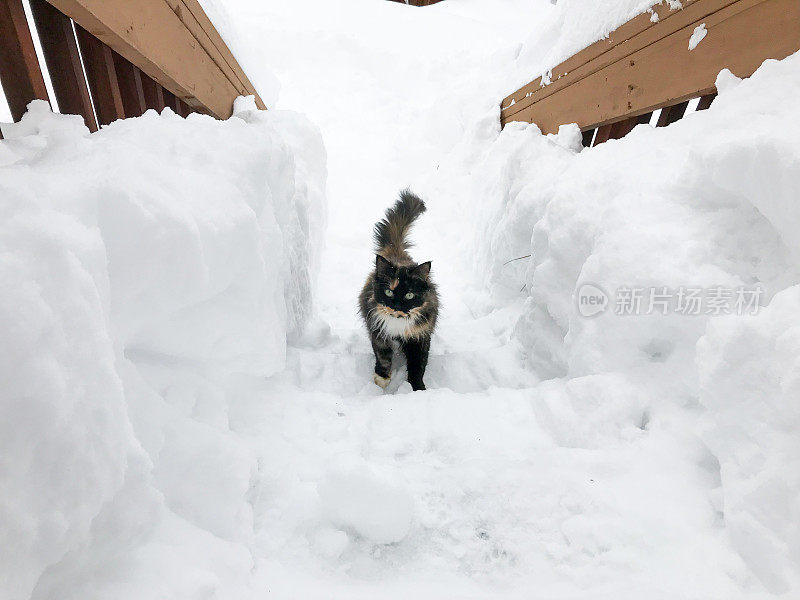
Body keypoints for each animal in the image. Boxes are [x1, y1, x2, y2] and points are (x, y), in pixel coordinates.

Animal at [360, 190, 440, 392]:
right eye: (389, 292)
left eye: (409, 295)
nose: (396, 305)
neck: (397, 322)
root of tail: (397, 253)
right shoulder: (378, 331)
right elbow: (382, 356)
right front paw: (382, 379)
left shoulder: (420, 337)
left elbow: (418, 365)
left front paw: (418, 389)